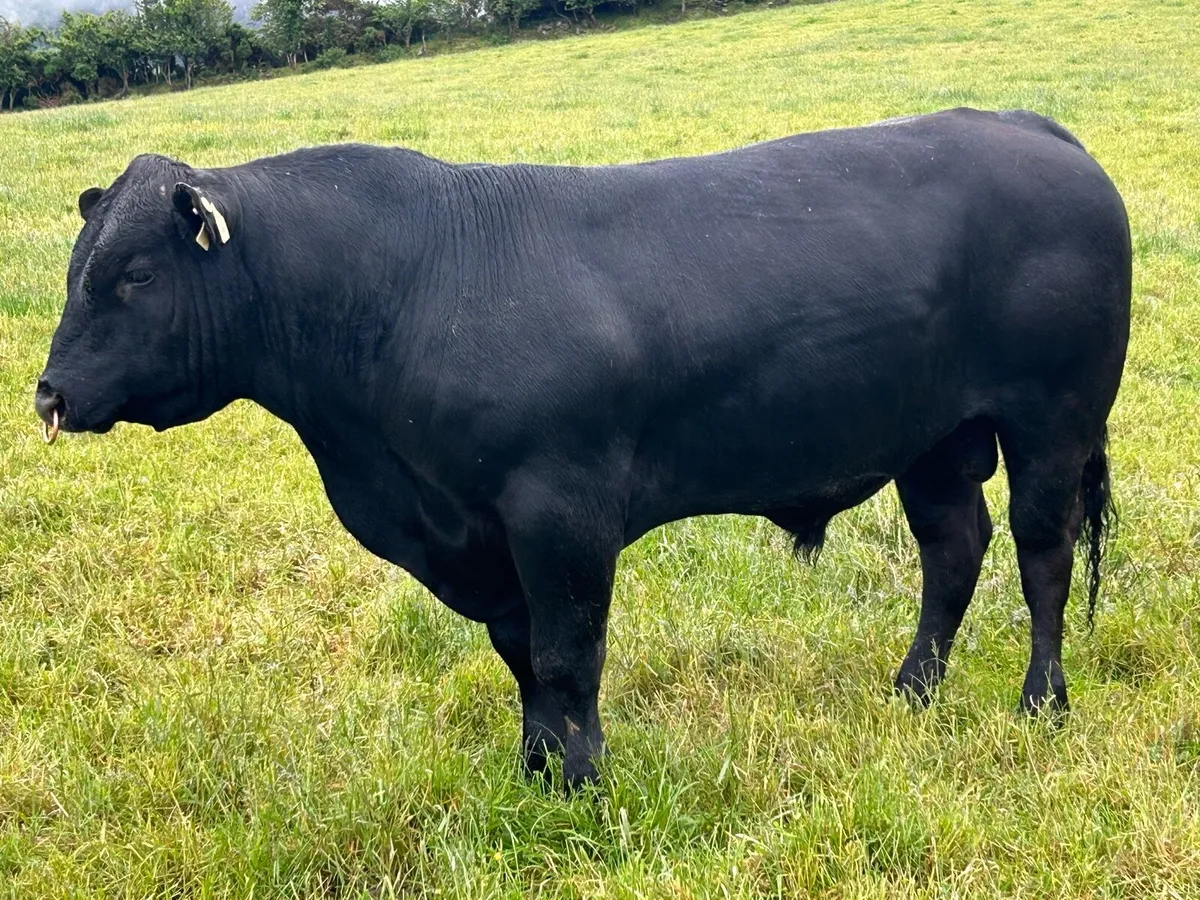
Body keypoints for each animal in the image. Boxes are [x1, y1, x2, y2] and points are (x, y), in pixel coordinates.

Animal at [35, 108, 1130, 789]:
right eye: (80, 264)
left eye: (134, 275)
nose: (49, 393)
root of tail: (1029, 128)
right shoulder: (478, 534)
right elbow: (521, 656)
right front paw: (534, 769)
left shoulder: (559, 511)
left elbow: (568, 656)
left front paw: (582, 783)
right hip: (932, 438)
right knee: (954, 548)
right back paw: (912, 691)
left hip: (1052, 420)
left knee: (1042, 553)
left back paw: (1041, 703)